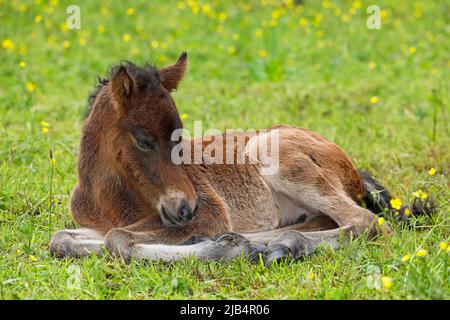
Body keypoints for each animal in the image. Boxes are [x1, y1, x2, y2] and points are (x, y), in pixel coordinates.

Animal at [50, 53, 426, 264]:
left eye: (181, 137)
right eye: (143, 141)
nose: (186, 208)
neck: (109, 199)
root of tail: (353, 170)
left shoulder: (210, 215)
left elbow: (117, 238)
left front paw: (221, 249)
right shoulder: (98, 223)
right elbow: (62, 239)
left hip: (268, 151)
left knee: (365, 221)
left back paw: (269, 245)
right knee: (326, 221)